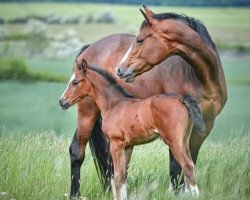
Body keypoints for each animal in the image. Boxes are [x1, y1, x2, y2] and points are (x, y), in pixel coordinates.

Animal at [60, 59, 205, 198]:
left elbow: (118, 177)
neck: (113, 104)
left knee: (187, 166)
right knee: (190, 165)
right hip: (184, 140)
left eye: (75, 82)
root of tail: (181, 99)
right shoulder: (128, 146)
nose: (62, 101)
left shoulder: (116, 143)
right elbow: (124, 176)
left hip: (173, 141)